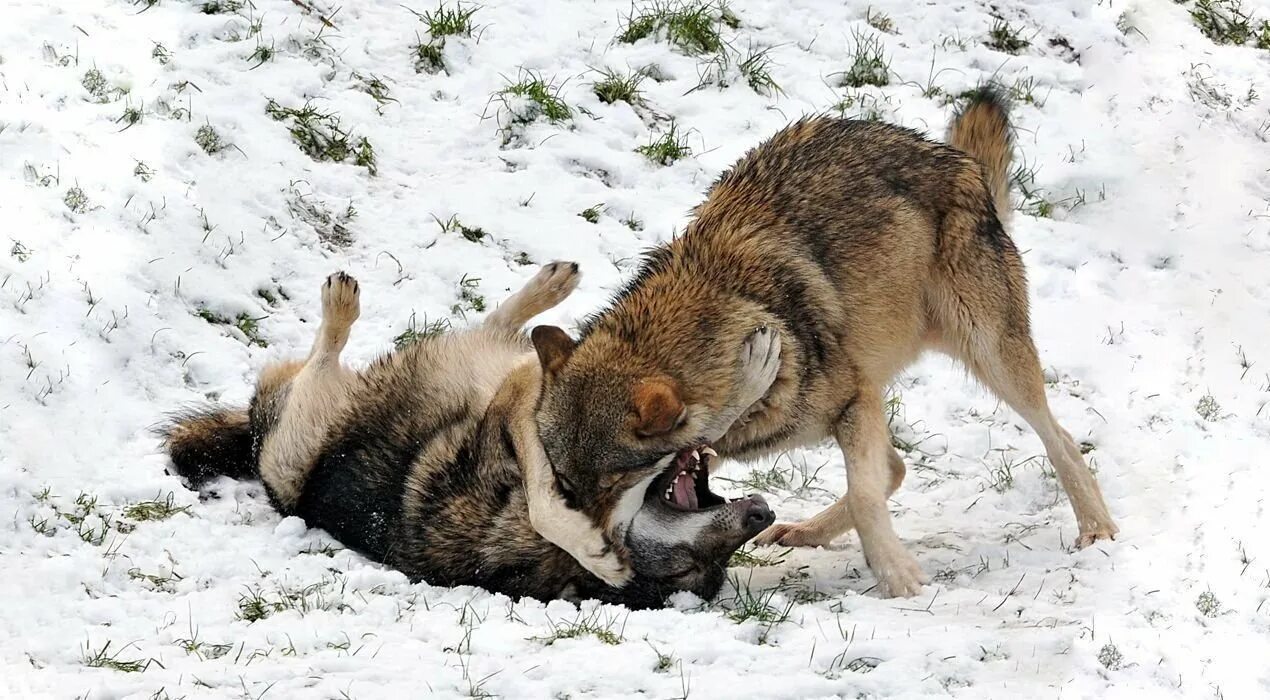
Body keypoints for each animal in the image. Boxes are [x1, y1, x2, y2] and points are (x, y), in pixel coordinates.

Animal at [158, 262, 772, 607]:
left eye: (704, 572)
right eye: (688, 568)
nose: (763, 516)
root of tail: (254, 440)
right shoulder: (522, 406)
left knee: (479, 329)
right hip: (300, 441)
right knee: (330, 351)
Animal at [520, 88, 1117, 597]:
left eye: (612, 484)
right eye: (569, 488)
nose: (608, 550)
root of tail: (953, 156)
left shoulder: (854, 402)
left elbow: (871, 498)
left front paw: (898, 578)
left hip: (989, 352)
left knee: (1059, 439)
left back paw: (1097, 530)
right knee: (896, 468)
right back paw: (804, 530)